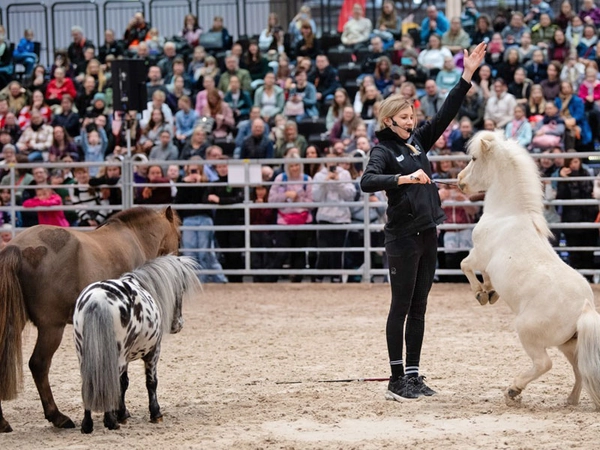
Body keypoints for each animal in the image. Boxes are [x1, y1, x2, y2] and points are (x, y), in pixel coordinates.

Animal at [0, 207, 180, 432]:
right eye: (178, 237)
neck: (134, 237)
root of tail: (15, 247)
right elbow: (123, 377)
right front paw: (121, 412)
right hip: (52, 328)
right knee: (39, 365)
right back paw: (58, 416)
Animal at [72, 253, 202, 432]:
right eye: (181, 289)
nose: (179, 324)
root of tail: (98, 299)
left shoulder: (126, 359)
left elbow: (124, 383)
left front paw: (123, 413)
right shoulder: (153, 352)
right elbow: (151, 382)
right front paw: (155, 414)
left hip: (85, 356)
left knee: (89, 383)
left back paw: (87, 424)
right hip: (118, 357)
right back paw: (110, 422)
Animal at [458, 130, 600, 408]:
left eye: (474, 158)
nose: (459, 181)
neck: (506, 213)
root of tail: (585, 307)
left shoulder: (479, 255)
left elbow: (464, 265)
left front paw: (480, 293)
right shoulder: (485, 262)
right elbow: (486, 276)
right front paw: (490, 292)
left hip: (527, 332)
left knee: (544, 363)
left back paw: (513, 391)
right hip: (569, 344)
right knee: (579, 369)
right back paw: (570, 400)